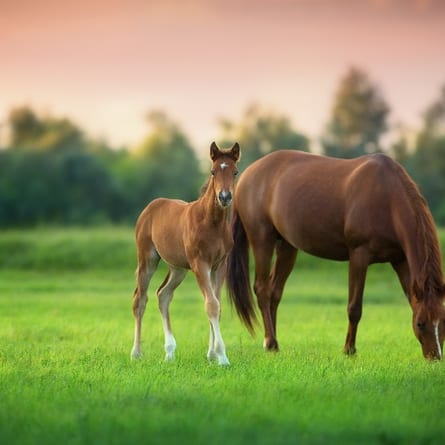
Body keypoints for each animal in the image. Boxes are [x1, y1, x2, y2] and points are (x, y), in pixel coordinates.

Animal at [132, 140, 239, 362]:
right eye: (213, 171)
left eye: (235, 172)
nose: (224, 197)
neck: (212, 223)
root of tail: (151, 206)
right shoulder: (200, 264)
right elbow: (211, 305)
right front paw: (222, 357)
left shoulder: (219, 265)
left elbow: (217, 305)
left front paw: (211, 354)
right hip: (147, 259)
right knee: (140, 299)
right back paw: (136, 353)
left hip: (178, 268)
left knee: (163, 295)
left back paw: (170, 352)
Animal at [227, 151, 444, 360]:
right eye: (421, 323)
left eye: (443, 321)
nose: (435, 357)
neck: (387, 198)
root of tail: (246, 174)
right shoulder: (359, 255)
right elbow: (354, 308)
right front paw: (349, 350)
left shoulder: (400, 260)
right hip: (262, 240)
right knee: (262, 289)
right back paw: (270, 342)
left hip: (287, 246)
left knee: (275, 291)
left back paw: (272, 344)